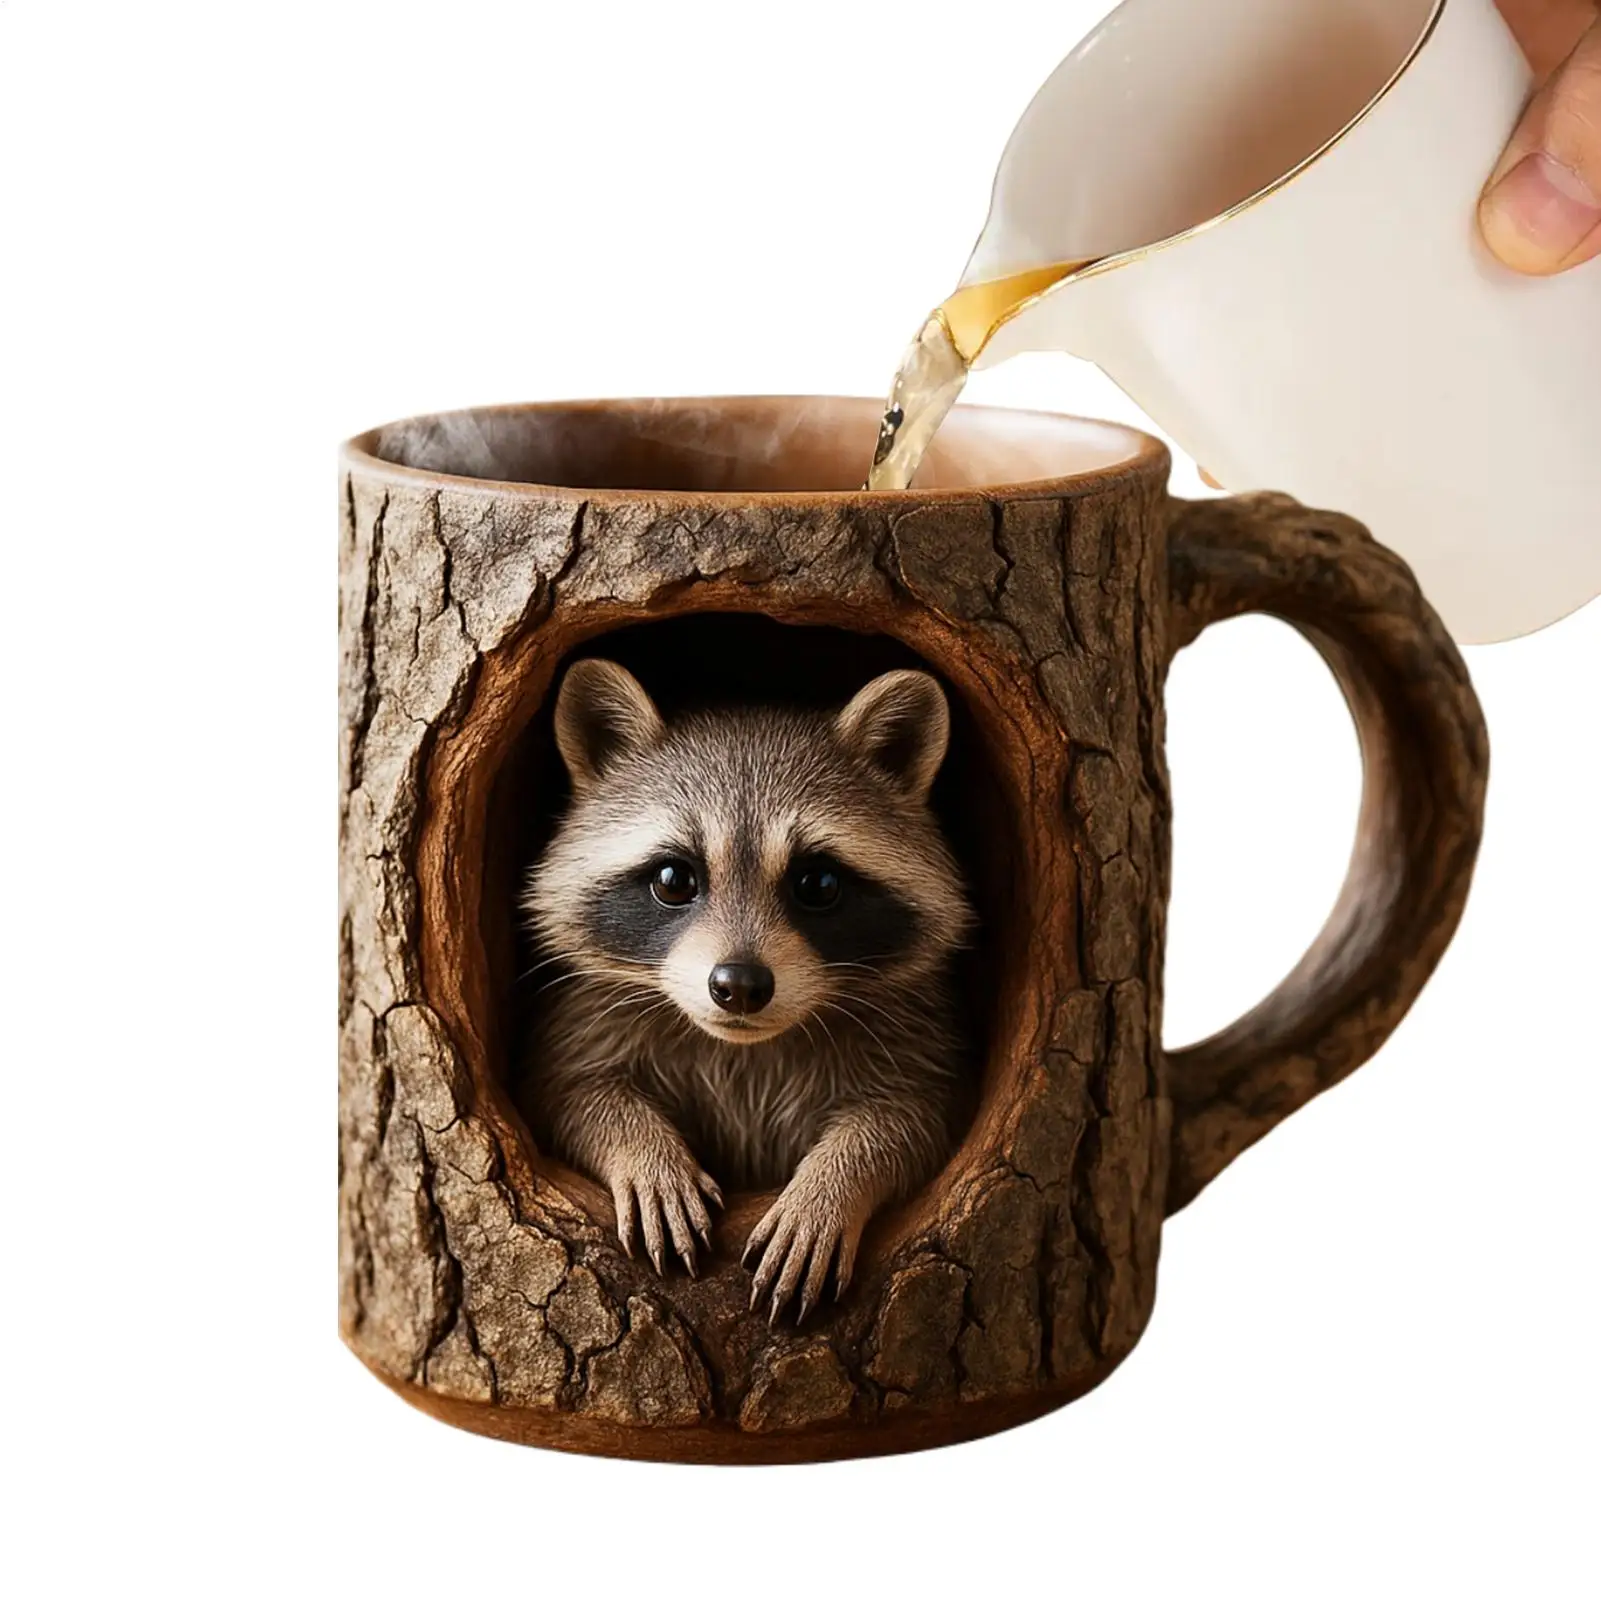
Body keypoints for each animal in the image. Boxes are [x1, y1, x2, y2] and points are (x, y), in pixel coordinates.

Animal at [518, 657, 973, 1322]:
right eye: (673, 879)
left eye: (817, 884)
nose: (739, 986)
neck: (745, 1047)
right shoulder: (589, 1014)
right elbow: (571, 1091)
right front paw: (642, 1149)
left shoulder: (913, 1031)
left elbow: (911, 1117)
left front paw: (833, 1184)